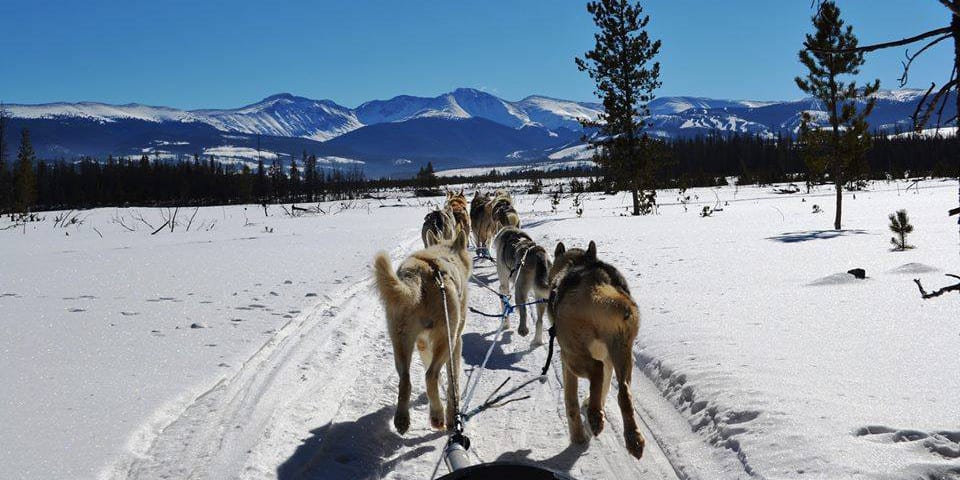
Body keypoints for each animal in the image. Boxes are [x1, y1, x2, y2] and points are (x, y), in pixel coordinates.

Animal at [374, 228, 470, 432]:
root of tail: (417, 276)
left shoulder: (422, 344)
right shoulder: (456, 342)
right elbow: (453, 383)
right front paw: (452, 414)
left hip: (401, 342)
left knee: (405, 380)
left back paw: (402, 419)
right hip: (446, 339)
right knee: (430, 376)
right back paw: (438, 416)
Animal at [548, 242, 644, 460]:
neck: (579, 263)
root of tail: (597, 284)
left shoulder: (565, 360)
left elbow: (571, 403)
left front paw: (578, 437)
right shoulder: (609, 359)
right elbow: (605, 387)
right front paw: (594, 402)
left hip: (573, 356)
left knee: (597, 370)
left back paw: (594, 418)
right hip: (623, 354)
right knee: (624, 392)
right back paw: (633, 439)